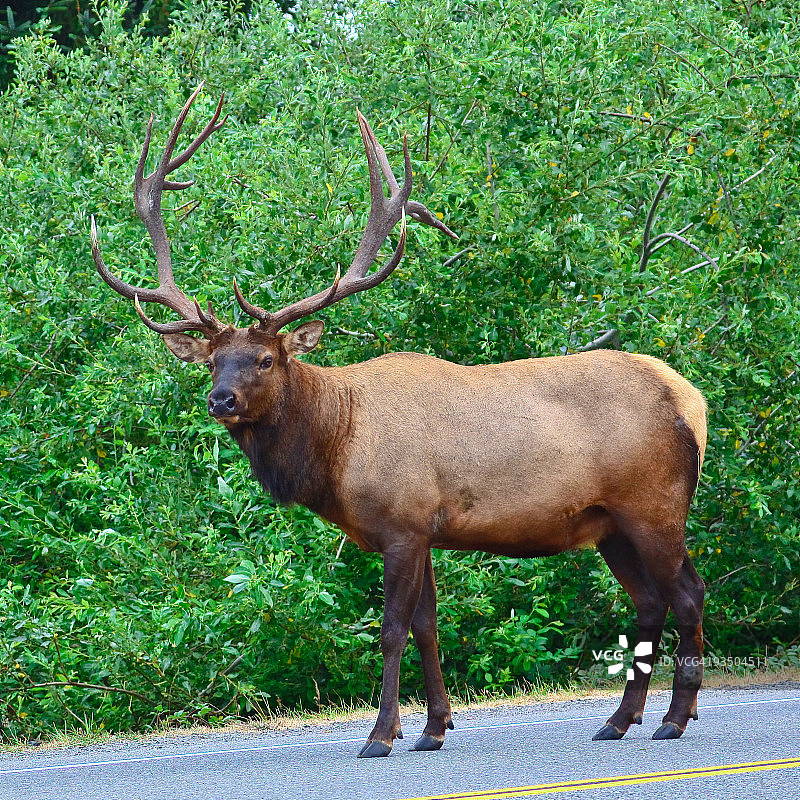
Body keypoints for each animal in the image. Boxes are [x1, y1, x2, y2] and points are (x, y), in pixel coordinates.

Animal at [92, 84, 708, 757]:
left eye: (264, 358)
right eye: (211, 362)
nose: (220, 400)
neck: (336, 448)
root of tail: (692, 402)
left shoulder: (403, 523)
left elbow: (391, 630)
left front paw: (381, 734)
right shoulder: (423, 531)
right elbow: (428, 626)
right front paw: (435, 727)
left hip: (653, 504)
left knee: (687, 594)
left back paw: (676, 718)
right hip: (610, 525)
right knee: (650, 602)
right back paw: (619, 719)